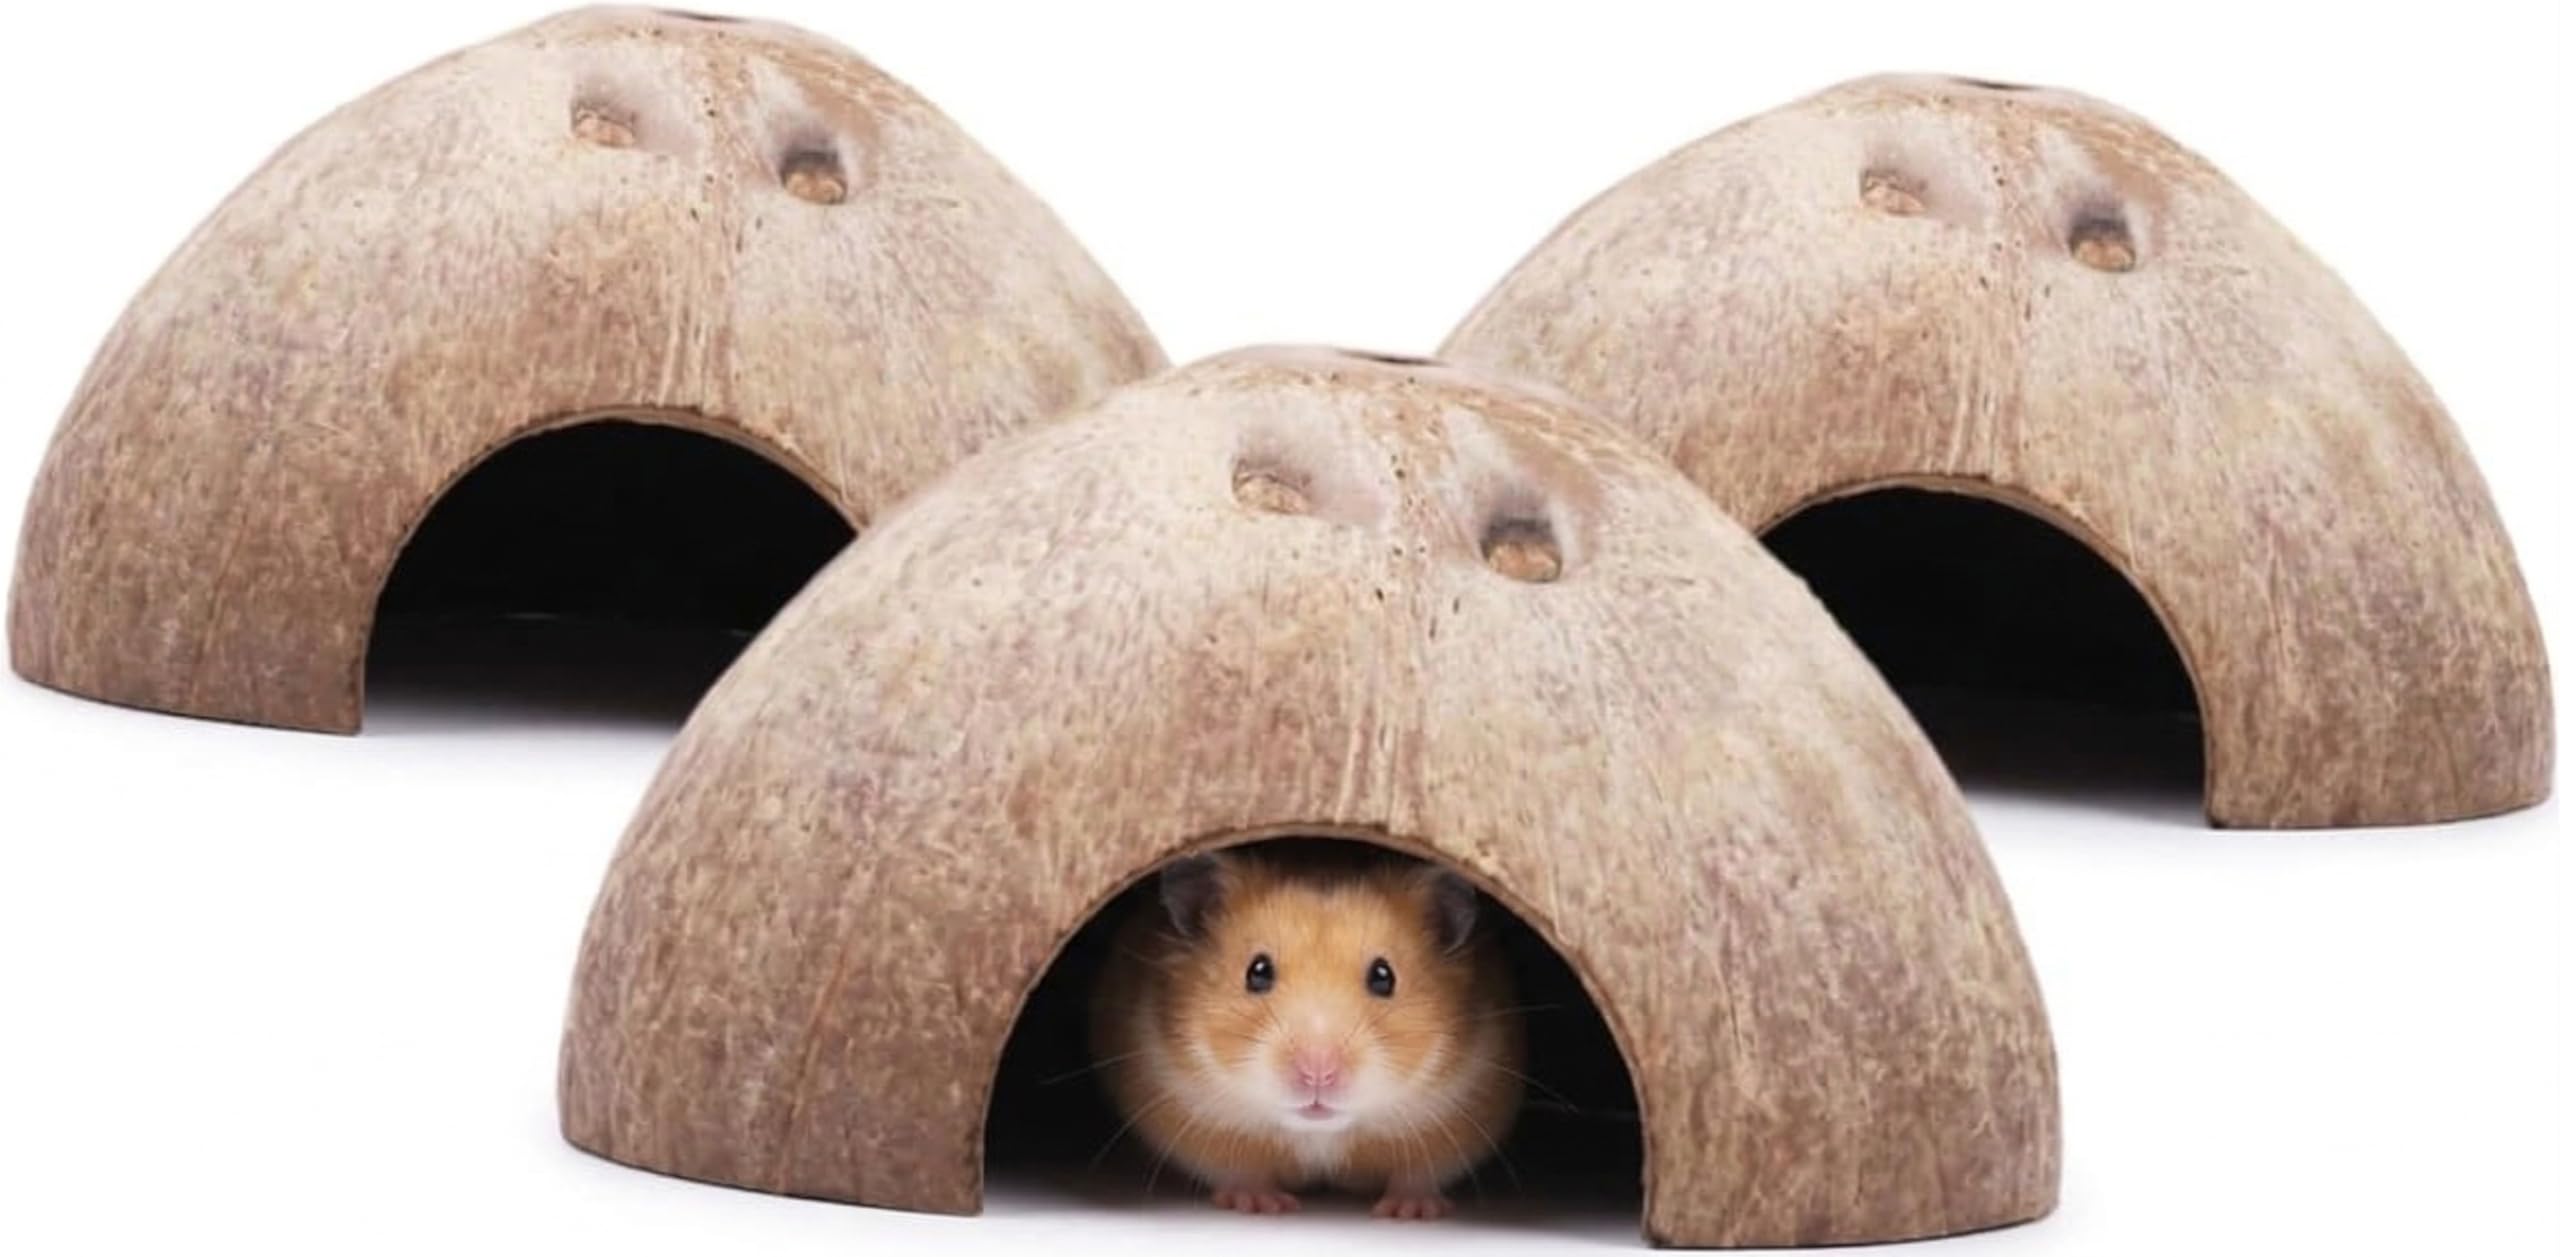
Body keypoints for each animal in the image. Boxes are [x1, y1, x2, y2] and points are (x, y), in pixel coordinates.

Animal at [1088, 847, 1527, 1219]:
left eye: (1384, 976)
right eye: (1257, 972)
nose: (1318, 1073)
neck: (1320, 1133)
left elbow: (1420, 1173)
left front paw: (1411, 1212)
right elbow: (1239, 1168)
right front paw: (1260, 1205)